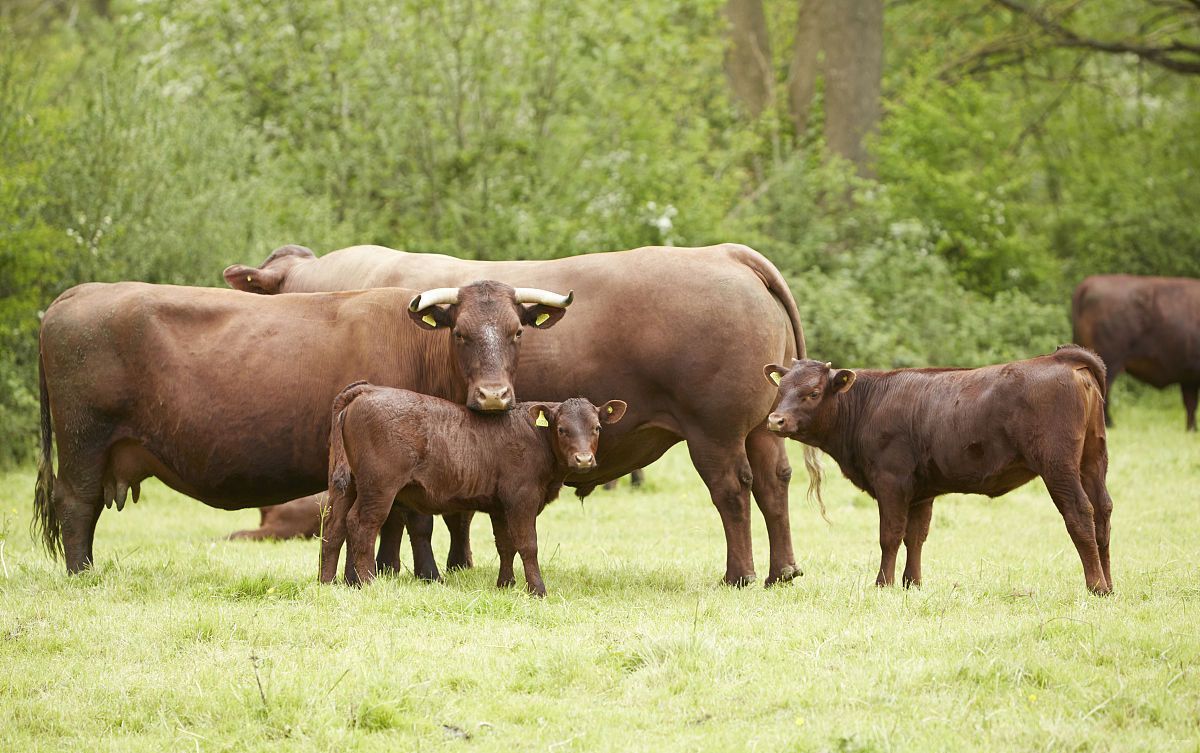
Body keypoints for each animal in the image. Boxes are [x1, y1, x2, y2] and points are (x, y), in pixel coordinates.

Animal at [30, 279, 568, 573]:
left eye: (516, 332)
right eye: (460, 333)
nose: (494, 395)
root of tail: (78, 294)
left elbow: (395, 523)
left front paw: (389, 571)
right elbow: (412, 520)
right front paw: (420, 575)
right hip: (83, 442)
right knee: (76, 507)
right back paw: (82, 573)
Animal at [319, 386, 628, 597]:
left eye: (597, 428)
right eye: (562, 429)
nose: (584, 460)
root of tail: (367, 390)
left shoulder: (500, 506)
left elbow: (506, 545)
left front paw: (505, 584)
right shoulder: (522, 499)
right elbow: (527, 544)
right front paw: (537, 589)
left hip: (347, 487)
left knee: (334, 527)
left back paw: (328, 582)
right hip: (378, 487)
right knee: (362, 525)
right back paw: (368, 582)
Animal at [763, 345, 1108, 594]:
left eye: (813, 393)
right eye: (781, 391)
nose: (775, 420)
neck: (868, 405)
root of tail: (1060, 358)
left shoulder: (891, 481)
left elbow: (890, 535)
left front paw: (883, 584)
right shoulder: (921, 491)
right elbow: (915, 536)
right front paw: (912, 583)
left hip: (1057, 465)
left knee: (1080, 513)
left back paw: (1096, 586)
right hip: (1093, 460)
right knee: (1103, 513)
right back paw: (1110, 584)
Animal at [1070, 274, 1200, 429]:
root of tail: (1087, 285)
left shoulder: (1189, 379)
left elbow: (1190, 405)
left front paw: (1191, 429)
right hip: (1108, 363)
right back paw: (1109, 424)